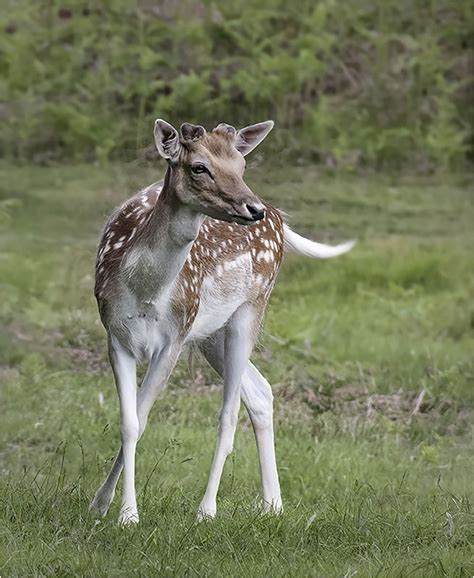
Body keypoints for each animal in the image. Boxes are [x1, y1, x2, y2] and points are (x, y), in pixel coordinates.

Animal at [90, 119, 356, 524]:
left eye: (240, 165)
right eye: (199, 167)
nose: (253, 208)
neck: (144, 291)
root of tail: (280, 218)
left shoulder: (173, 339)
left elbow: (142, 417)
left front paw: (128, 515)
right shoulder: (115, 334)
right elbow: (130, 422)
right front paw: (104, 505)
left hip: (251, 307)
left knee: (229, 413)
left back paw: (207, 509)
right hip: (210, 332)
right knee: (260, 391)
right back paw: (273, 505)